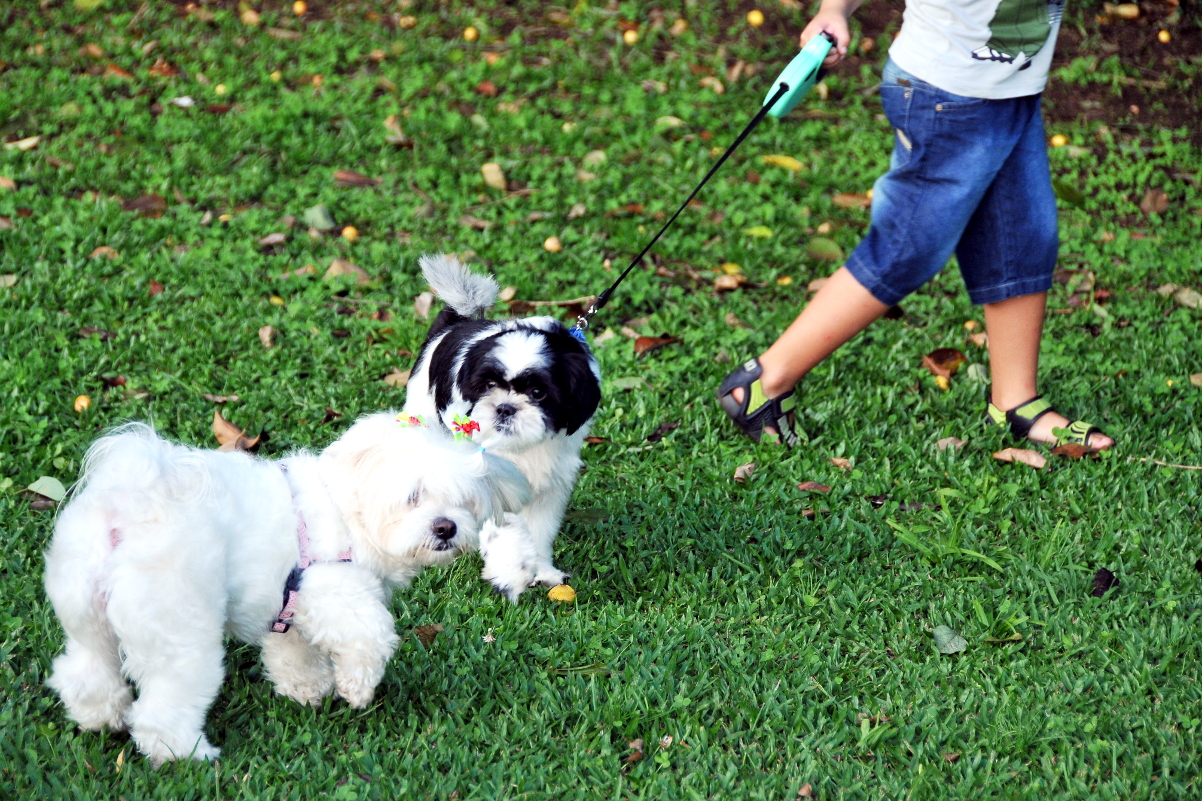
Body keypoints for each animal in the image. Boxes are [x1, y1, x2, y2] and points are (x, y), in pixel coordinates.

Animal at [44, 411, 524, 760]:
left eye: (464, 502)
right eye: (412, 496)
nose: (446, 527)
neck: (348, 508)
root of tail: (125, 510)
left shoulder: (288, 607)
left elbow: (295, 654)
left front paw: (308, 691)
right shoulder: (335, 591)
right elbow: (372, 638)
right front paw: (357, 689)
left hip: (85, 613)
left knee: (84, 671)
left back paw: (100, 719)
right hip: (181, 635)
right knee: (161, 712)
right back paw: (190, 756)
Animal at [406, 256, 601, 598]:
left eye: (538, 392)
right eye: (488, 385)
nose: (505, 407)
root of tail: (453, 323)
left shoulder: (551, 483)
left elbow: (538, 529)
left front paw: (542, 570)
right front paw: (510, 573)